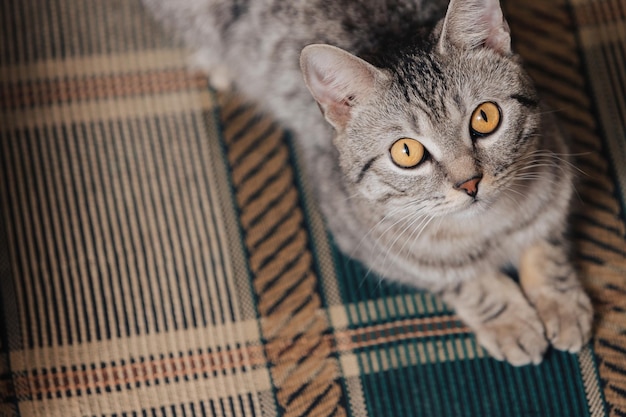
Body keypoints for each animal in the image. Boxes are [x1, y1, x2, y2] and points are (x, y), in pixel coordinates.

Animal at [144, 0, 592, 364]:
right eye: (407, 152)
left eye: (485, 117)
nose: (470, 183)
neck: (487, 231)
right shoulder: (376, 245)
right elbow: (462, 280)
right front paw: (509, 319)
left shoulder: (556, 175)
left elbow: (545, 243)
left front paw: (561, 302)